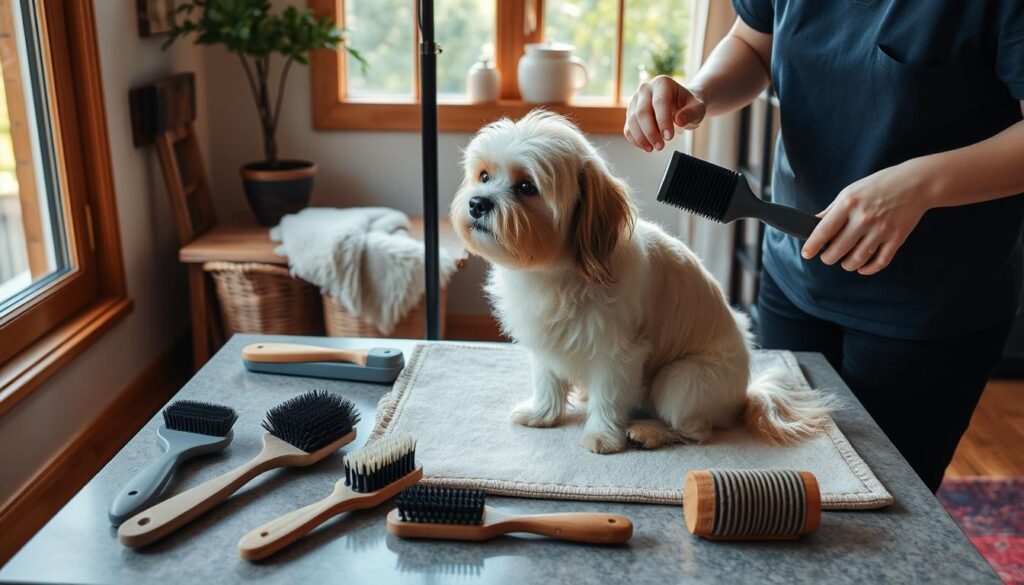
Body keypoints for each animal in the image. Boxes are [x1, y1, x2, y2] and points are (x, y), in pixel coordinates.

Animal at [448, 112, 831, 454]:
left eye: (526, 187)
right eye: (484, 176)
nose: (478, 203)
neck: (558, 273)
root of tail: (743, 395)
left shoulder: (620, 353)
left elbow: (609, 396)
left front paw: (602, 436)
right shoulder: (545, 341)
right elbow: (548, 380)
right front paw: (543, 414)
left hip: (679, 382)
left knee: (696, 431)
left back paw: (651, 432)